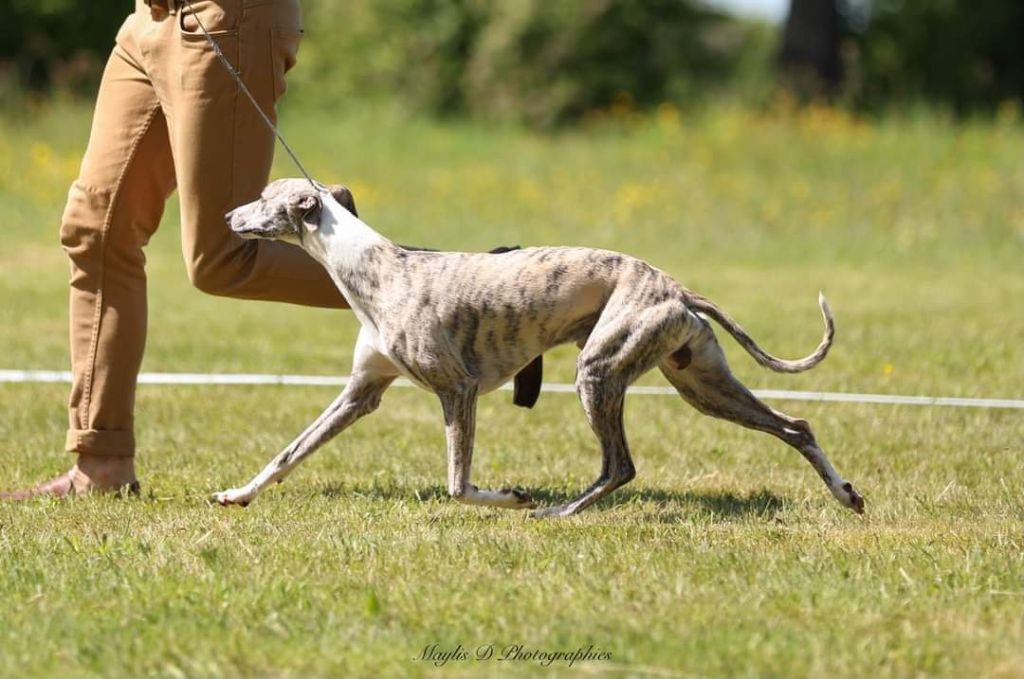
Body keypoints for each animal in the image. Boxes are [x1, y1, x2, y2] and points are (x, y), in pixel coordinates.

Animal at [214, 178, 864, 518]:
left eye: (266, 196)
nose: (225, 214)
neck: (375, 270)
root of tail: (675, 287)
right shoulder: (360, 393)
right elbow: (288, 453)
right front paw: (237, 493)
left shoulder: (457, 388)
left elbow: (458, 485)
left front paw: (511, 496)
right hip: (701, 384)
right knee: (797, 425)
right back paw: (846, 494)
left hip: (597, 372)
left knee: (621, 466)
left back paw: (559, 512)